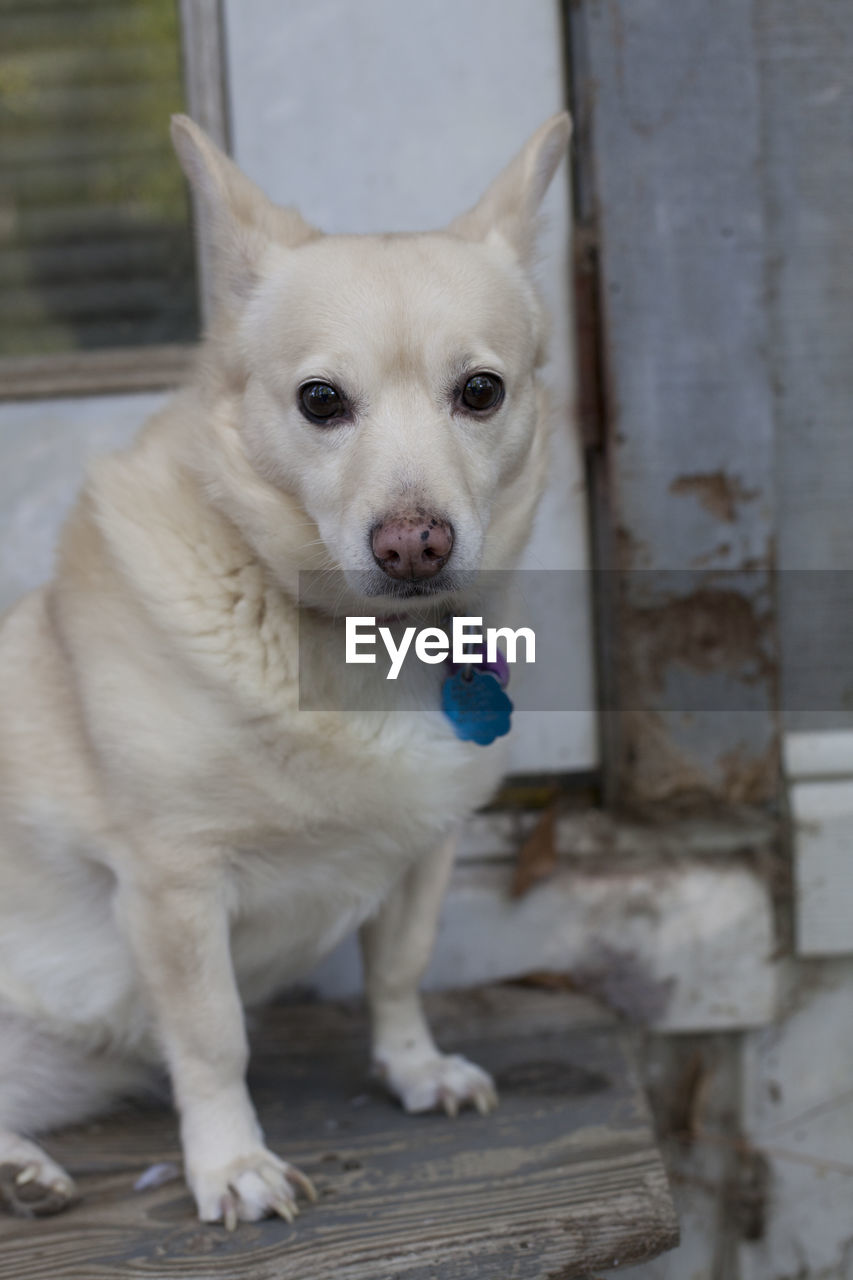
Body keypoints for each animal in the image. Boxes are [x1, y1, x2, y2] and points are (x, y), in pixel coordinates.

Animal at [1, 112, 571, 1228]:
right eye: (320, 401)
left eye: (479, 392)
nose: (413, 544)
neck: (364, 644)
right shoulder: (174, 887)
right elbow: (214, 1039)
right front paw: (230, 1163)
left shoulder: (425, 852)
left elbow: (399, 969)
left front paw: (414, 1068)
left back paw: (20, 1169)